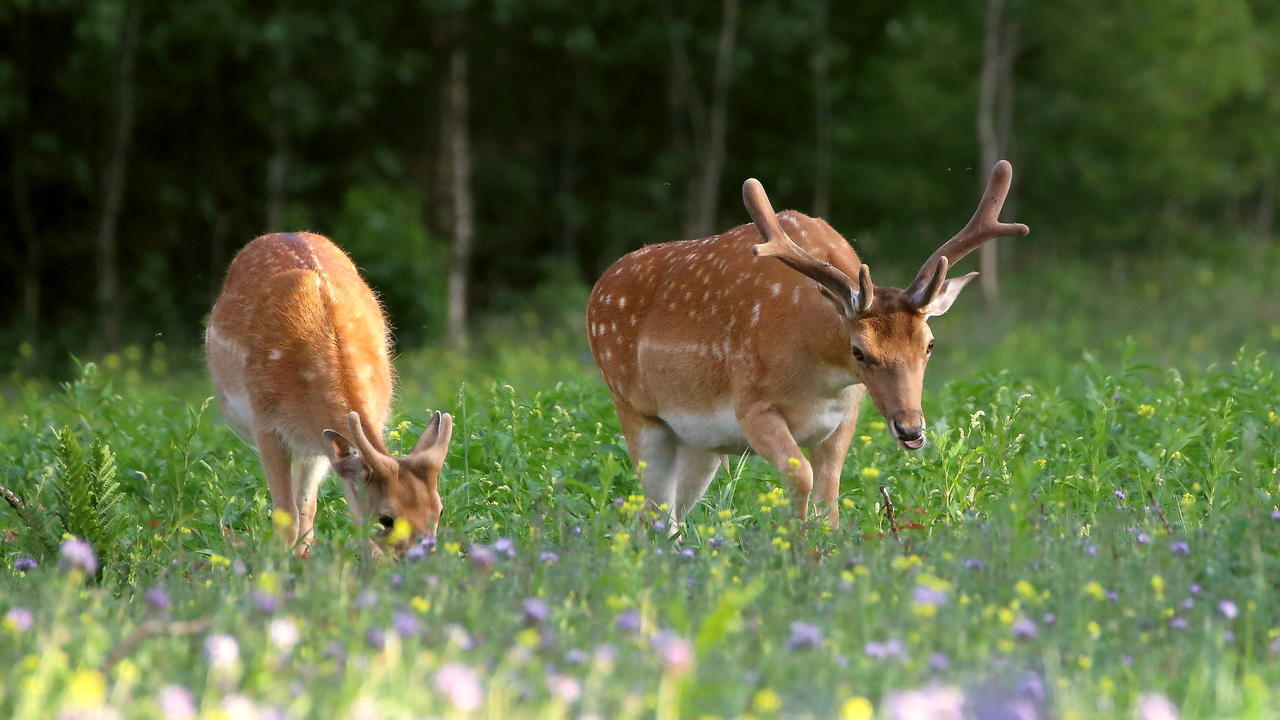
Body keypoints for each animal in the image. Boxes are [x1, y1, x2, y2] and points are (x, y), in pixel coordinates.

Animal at [203, 229, 450, 556]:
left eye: (439, 510)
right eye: (387, 519)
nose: (424, 557)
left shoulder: (328, 440)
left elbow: (331, 510)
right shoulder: (266, 424)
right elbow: (285, 514)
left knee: (307, 504)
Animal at [588, 159, 1029, 527]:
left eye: (929, 344)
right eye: (858, 351)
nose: (910, 428)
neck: (818, 377)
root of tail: (597, 290)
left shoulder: (844, 416)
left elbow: (829, 496)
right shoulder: (751, 405)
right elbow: (801, 476)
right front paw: (794, 550)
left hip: (699, 443)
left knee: (668, 516)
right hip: (634, 409)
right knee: (650, 512)